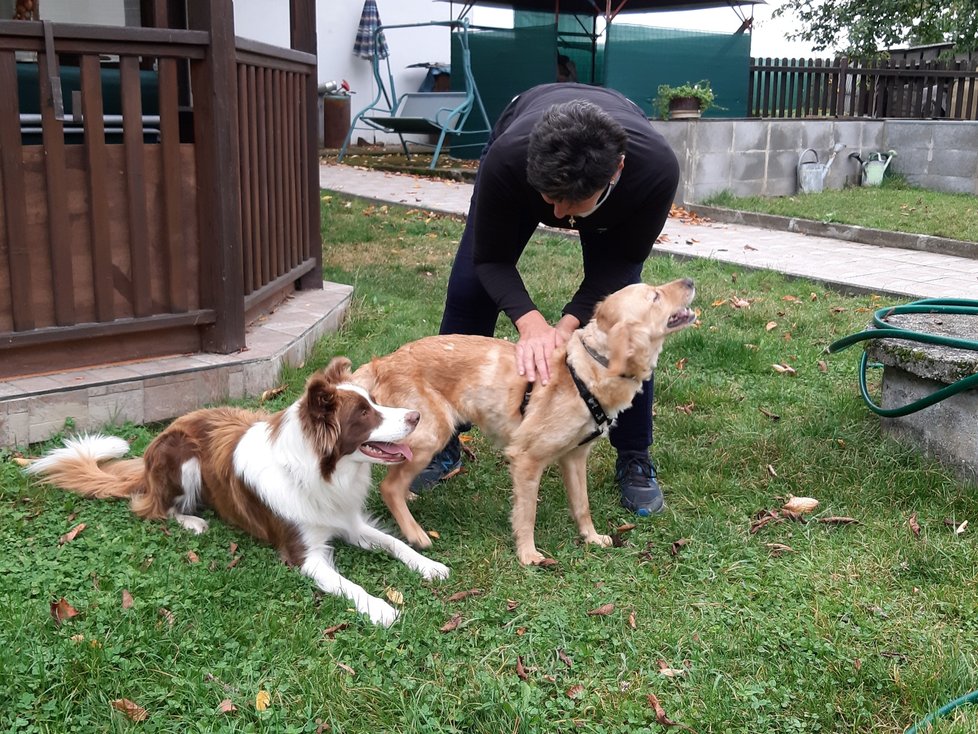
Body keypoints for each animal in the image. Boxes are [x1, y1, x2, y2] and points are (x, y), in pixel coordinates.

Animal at [350, 278, 692, 568]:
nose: (689, 281)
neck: (589, 370)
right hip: (432, 432)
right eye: (655, 296)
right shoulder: (527, 459)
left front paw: (591, 537)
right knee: (389, 486)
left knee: (396, 477)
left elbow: (582, 505)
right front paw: (528, 554)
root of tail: (382, 362)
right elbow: (527, 514)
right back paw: (415, 532)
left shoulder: (574, 457)